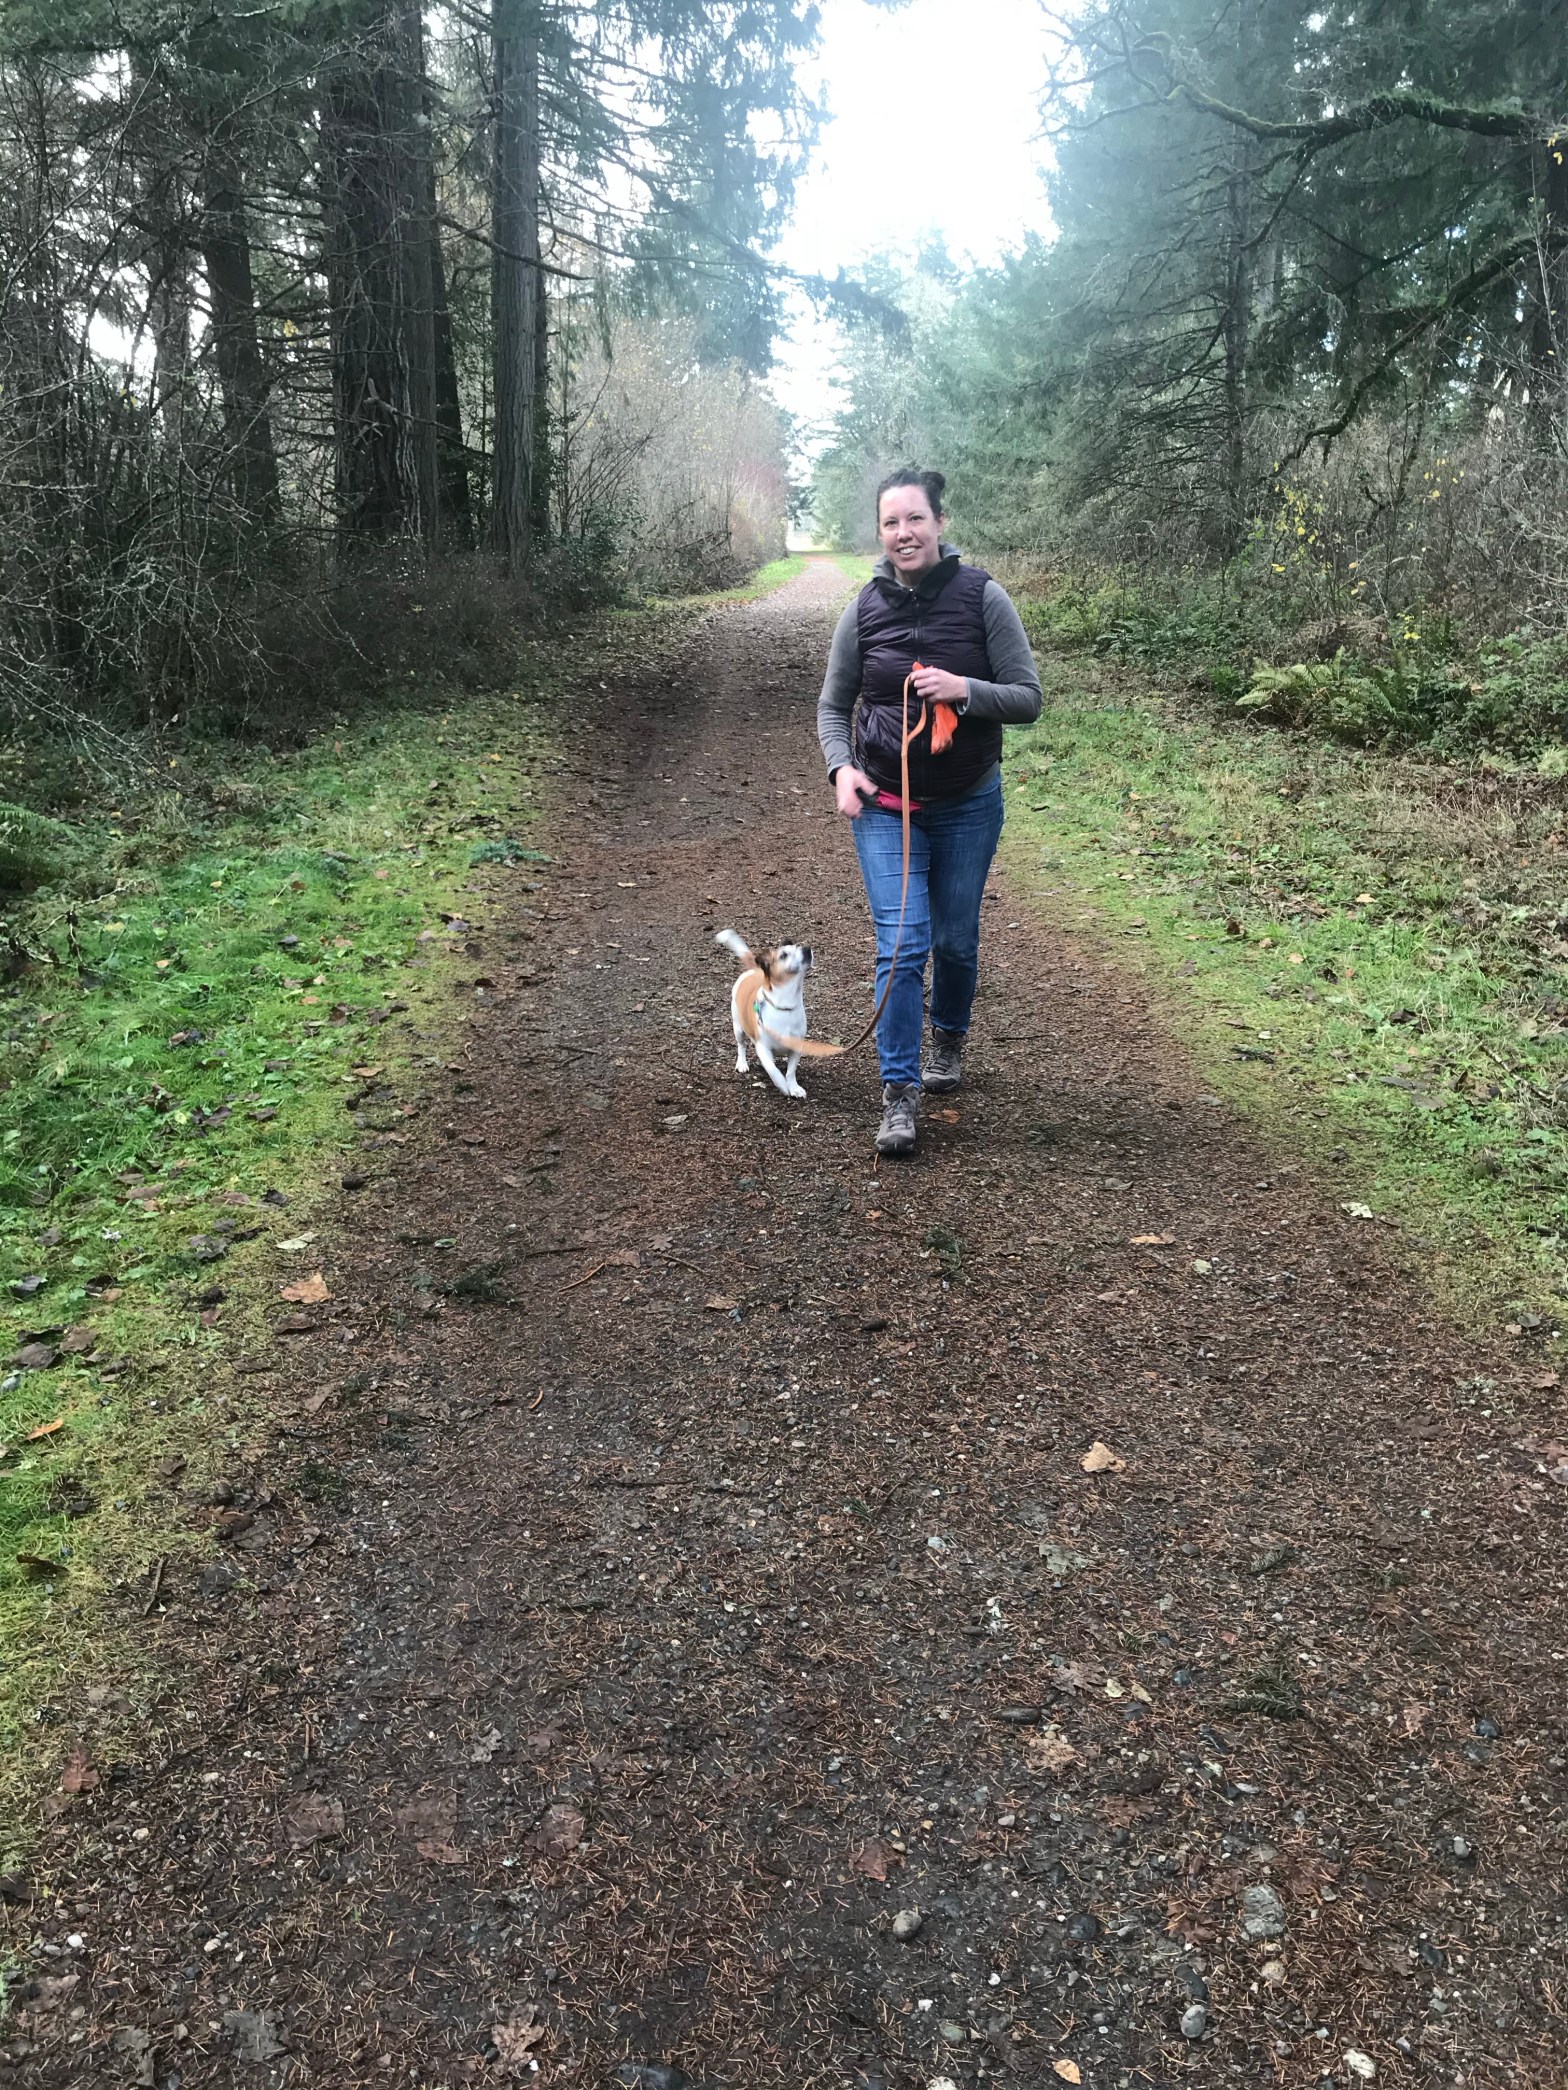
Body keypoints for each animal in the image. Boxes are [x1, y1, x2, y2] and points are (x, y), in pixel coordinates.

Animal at [715, 929, 842, 1099]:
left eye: (798, 946)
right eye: (784, 955)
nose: (807, 949)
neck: (785, 1005)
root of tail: (754, 970)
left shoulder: (796, 1047)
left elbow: (790, 1072)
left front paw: (793, 1087)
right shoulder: (762, 1047)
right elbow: (773, 1070)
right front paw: (782, 1085)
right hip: (738, 1027)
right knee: (741, 1046)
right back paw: (742, 1063)